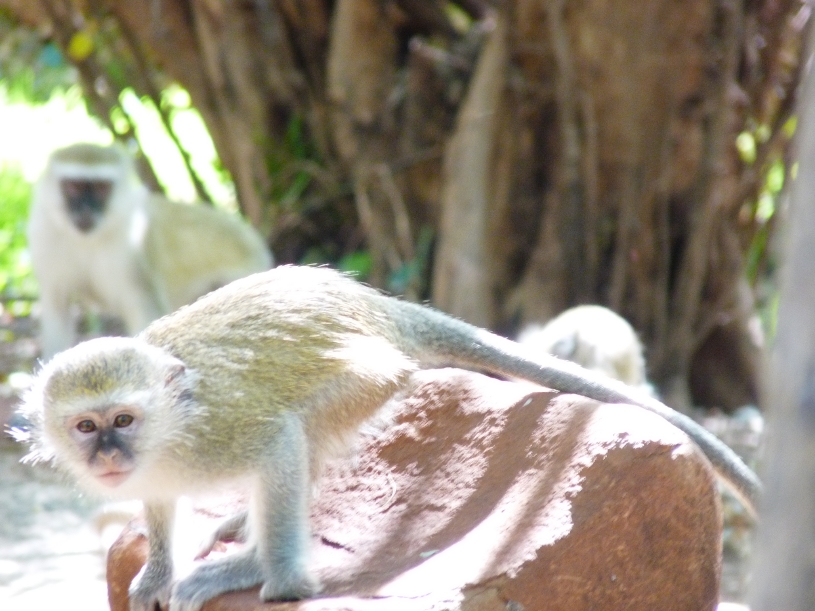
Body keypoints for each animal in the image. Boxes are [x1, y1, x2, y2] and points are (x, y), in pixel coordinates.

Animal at [27, 142, 273, 360]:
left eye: (101, 188)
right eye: (74, 186)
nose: (86, 210)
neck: (86, 240)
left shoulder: (134, 252)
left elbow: (145, 314)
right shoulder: (43, 237)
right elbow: (57, 309)